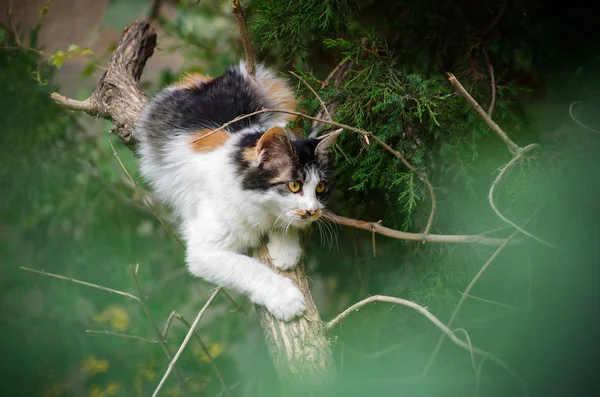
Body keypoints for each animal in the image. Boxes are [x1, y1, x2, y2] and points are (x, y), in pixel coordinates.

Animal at [138, 62, 340, 322]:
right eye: (293, 185)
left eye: (320, 187)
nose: (312, 211)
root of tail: (209, 81)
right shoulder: (204, 251)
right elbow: (249, 269)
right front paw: (286, 299)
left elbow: (285, 223)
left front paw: (285, 250)